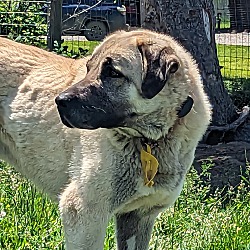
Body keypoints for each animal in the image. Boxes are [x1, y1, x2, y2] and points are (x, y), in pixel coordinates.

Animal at [0, 29, 211, 250]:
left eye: (113, 73)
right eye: (89, 68)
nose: (59, 101)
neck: (148, 141)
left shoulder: (139, 217)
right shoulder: (84, 215)